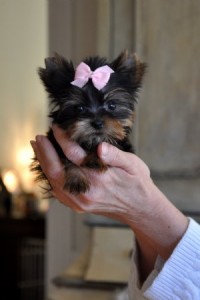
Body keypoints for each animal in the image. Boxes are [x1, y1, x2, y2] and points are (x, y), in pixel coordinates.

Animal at [32, 49, 146, 195]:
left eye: (112, 105)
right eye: (79, 108)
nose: (97, 123)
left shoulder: (123, 148)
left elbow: (107, 143)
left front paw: (96, 159)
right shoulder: (54, 141)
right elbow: (66, 157)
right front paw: (76, 179)